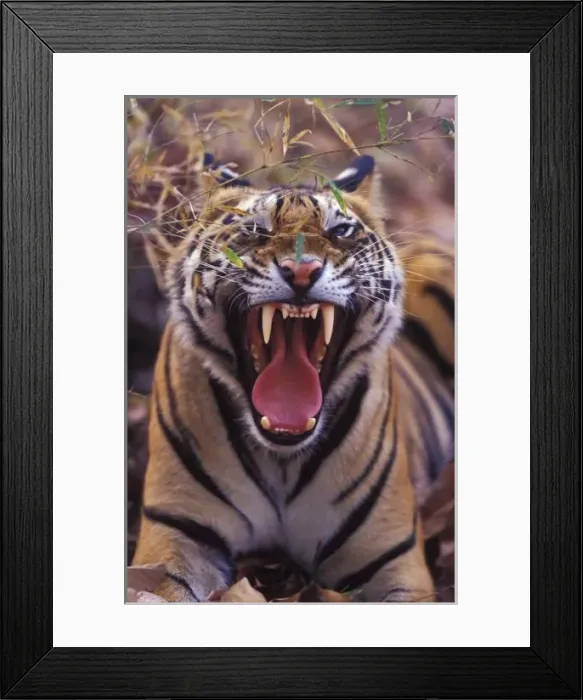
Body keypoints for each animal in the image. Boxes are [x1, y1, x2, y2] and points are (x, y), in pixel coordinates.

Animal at [131, 152, 454, 603]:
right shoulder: (177, 536)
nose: (301, 271)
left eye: (340, 230)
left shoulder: (393, 559)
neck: (282, 459)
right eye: (254, 228)